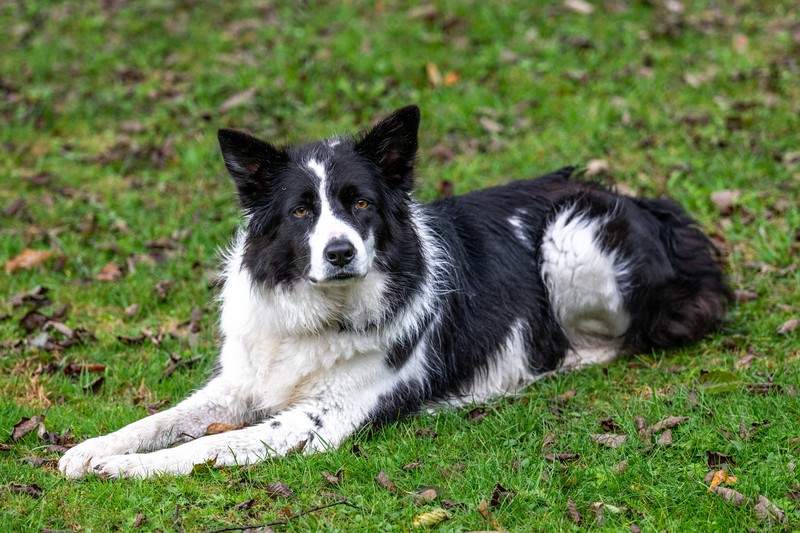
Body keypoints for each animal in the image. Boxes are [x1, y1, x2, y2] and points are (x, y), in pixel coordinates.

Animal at [59, 105, 728, 478]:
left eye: (359, 204)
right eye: (301, 212)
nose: (339, 252)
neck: (320, 310)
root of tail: (657, 207)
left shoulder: (319, 422)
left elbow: (205, 448)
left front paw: (123, 468)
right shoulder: (240, 383)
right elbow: (164, 420)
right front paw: (93, 450)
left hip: (572, 235)